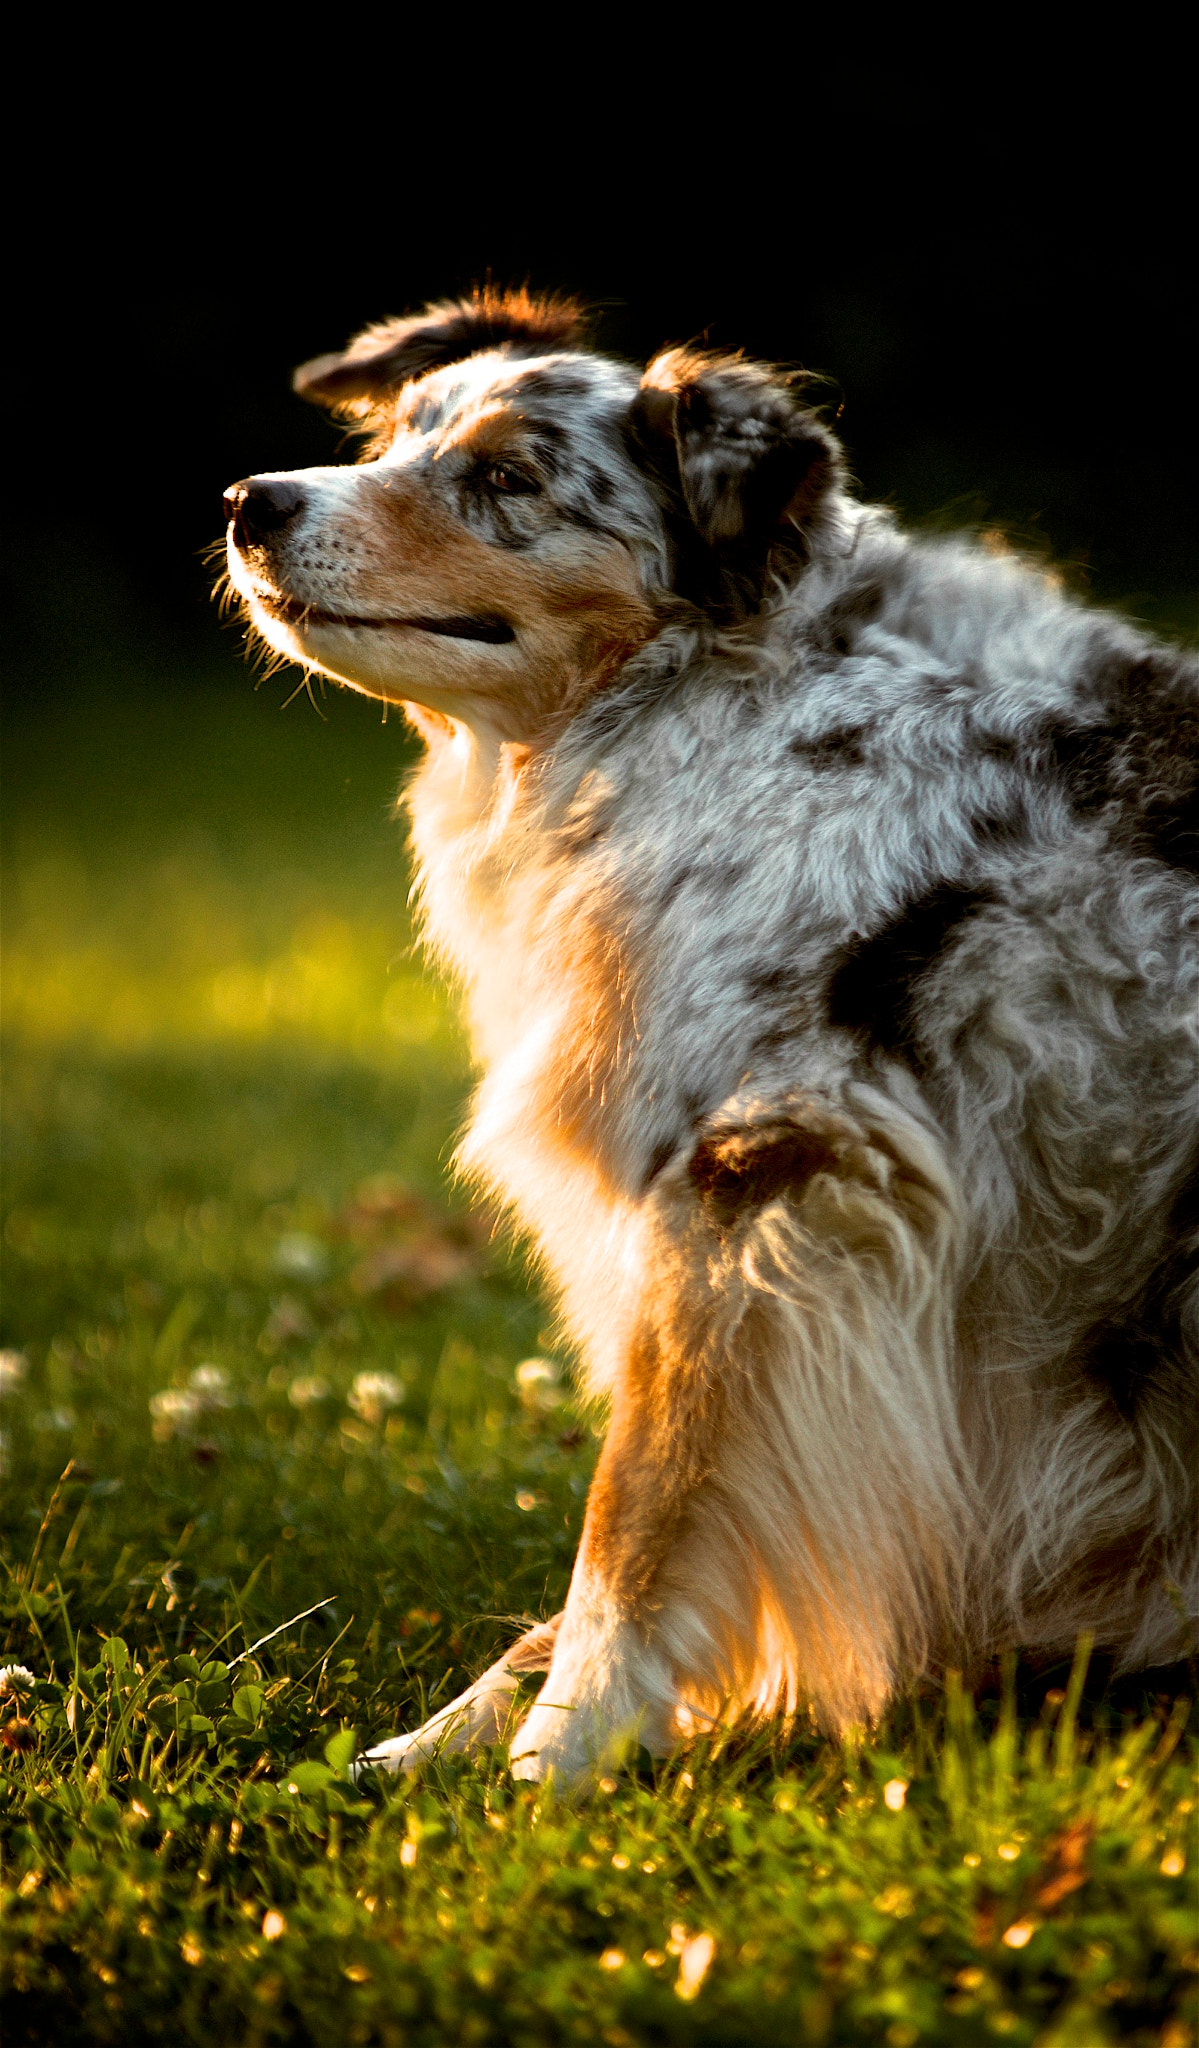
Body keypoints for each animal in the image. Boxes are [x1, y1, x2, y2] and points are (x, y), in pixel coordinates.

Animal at [224, 292, 1196, 1794]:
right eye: (392, 438)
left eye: (505, 477)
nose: (250, 503)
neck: (718, 708)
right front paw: (432, 1748)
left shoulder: (760, 1179)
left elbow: (631, 1520)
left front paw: (555, 1765)